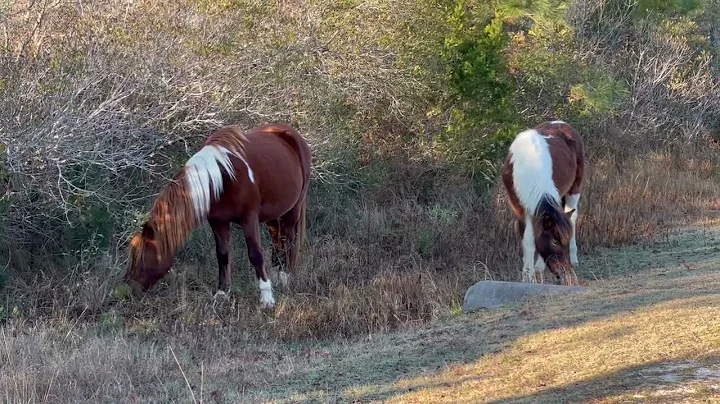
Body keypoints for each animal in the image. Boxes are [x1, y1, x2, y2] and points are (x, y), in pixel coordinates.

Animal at [123, 123, 312, 310]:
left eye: (141, 257)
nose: (128, 289)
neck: (221, 179)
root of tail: (291, 134)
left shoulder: (249, 219)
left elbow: (255, 255)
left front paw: (267, 298)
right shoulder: (218, 222)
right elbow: (222, 254)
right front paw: (222, 293)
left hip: (293, 209)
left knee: (288, 240)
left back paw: (284, 276)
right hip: (273, 214)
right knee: (276, 239)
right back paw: (276, 273)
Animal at [504, 120, 584, 284]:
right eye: (554, 242)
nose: (563, 272)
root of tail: (561, 123)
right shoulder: (520, 209)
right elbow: (528, 240)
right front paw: (528, 276)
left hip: (574, 189)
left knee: (572, 217)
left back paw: (573, 258)